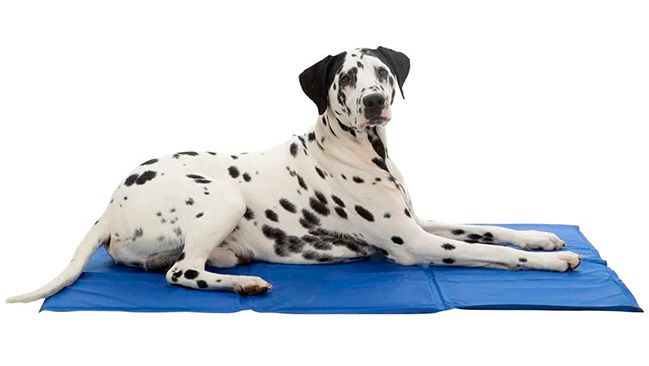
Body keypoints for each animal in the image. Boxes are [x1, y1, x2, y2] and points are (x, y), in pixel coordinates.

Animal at [6, 45, 584, 304]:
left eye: (382, 72)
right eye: (347, 77)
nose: (373, 102)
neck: (359, 151)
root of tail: (107, 207)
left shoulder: (419, 223)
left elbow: (490, 227)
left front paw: (544, 238)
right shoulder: (416, 245)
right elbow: (495, 254)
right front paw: (554, 262)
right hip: (224, 198)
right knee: (183, 272)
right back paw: (244, 283)